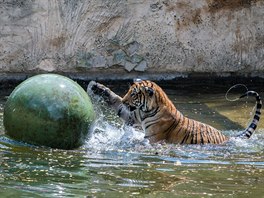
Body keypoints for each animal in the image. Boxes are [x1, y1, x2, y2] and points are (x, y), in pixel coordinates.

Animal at [87, 79, 260, 145]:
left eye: (134, 94)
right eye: (129, 91)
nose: (125, 101)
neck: (146, 110)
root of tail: (227, 137)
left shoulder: (153, 139)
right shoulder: (133, 115)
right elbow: (115, 102)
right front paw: (98, 88)